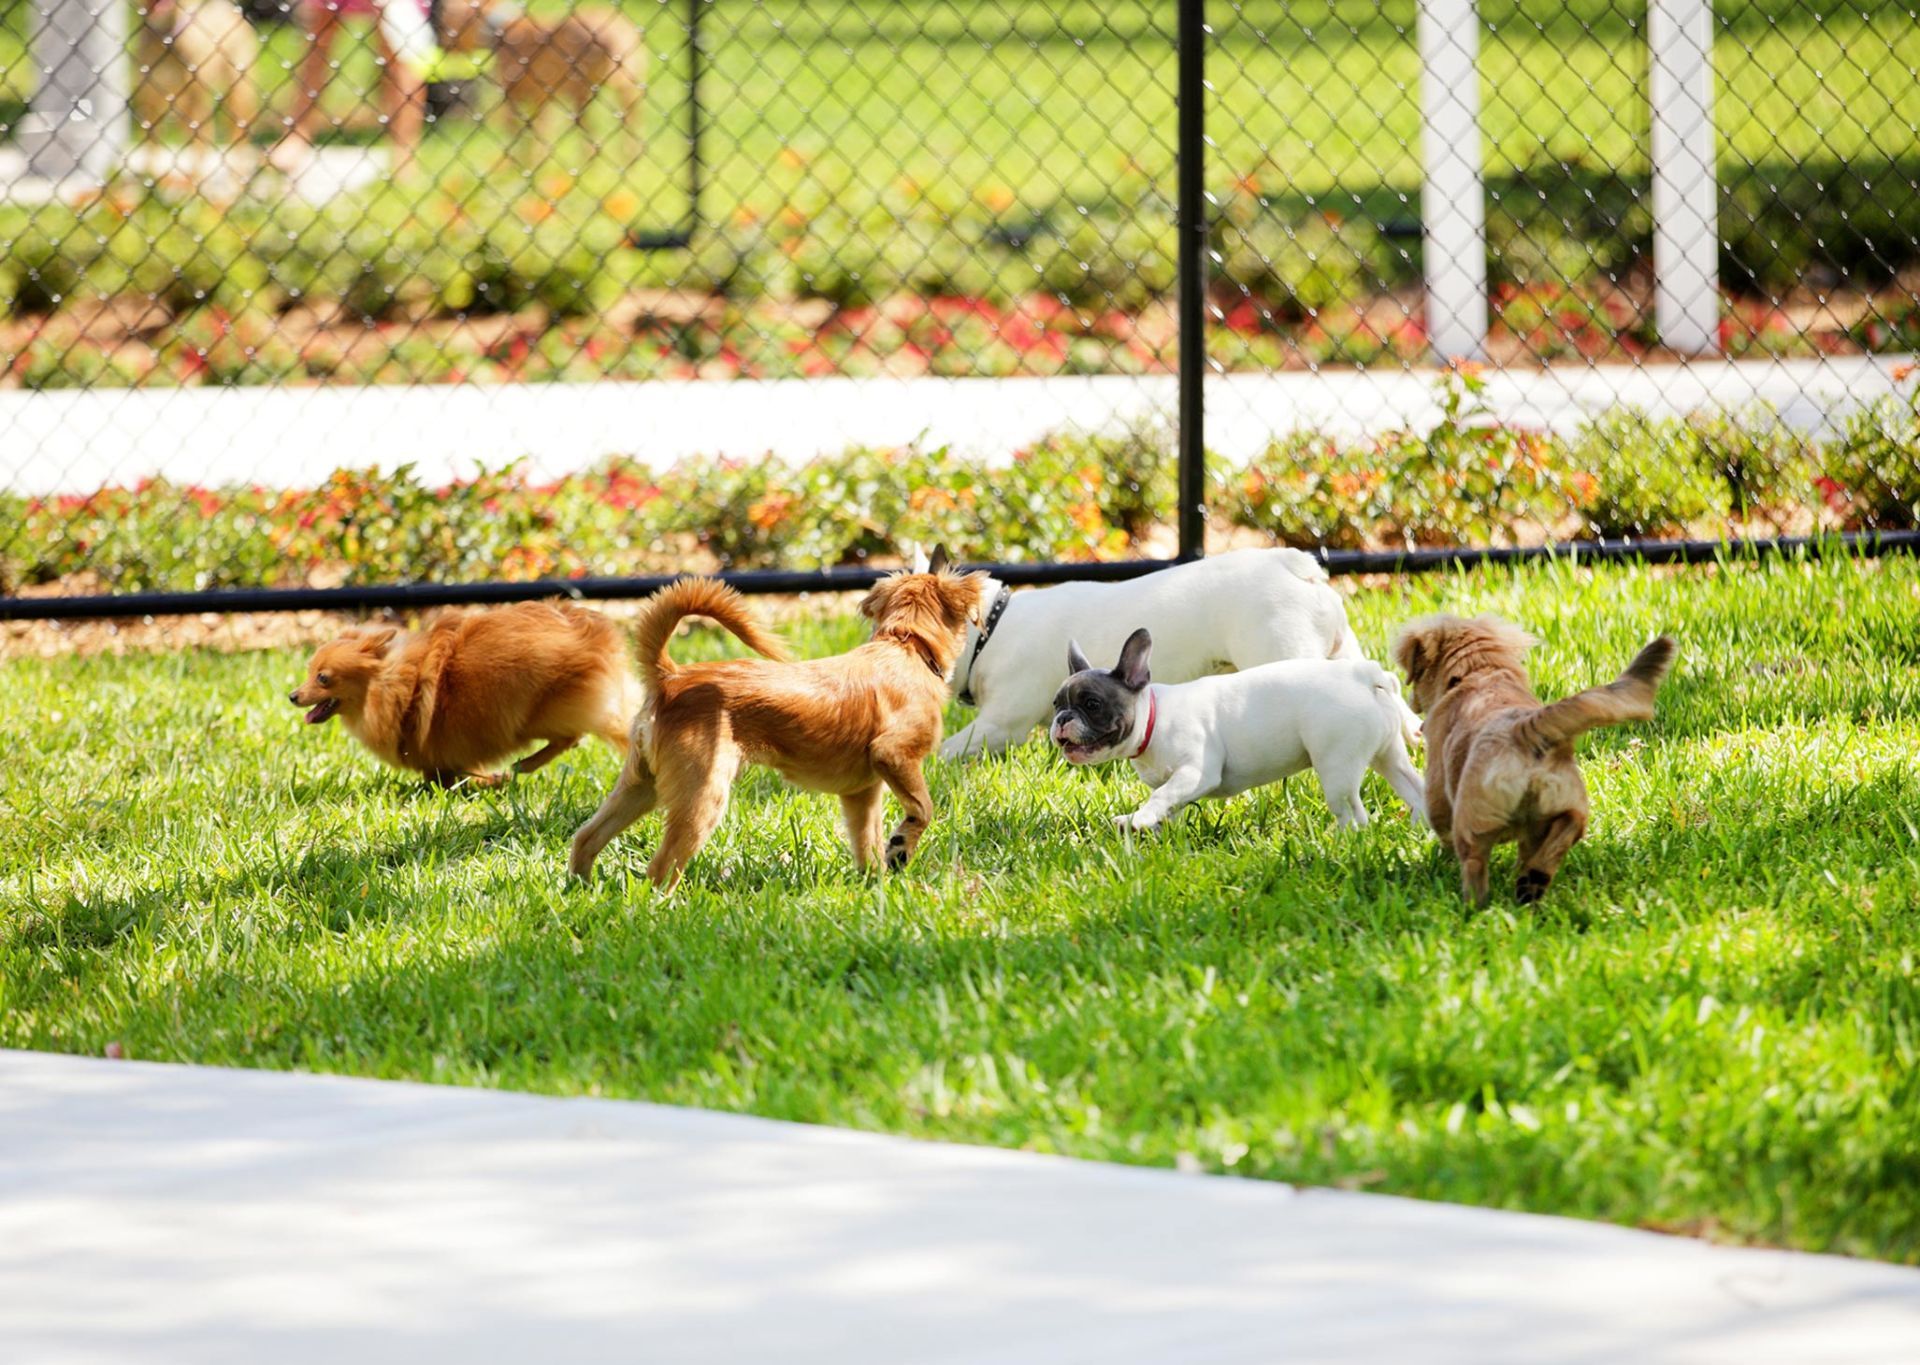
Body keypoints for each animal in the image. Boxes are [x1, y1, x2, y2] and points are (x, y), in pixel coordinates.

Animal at [289, 598, 637, 783]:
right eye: (308, 673)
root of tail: (592, 633)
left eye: (323, 678)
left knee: (570, 737)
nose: (292, 695)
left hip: (537, 714)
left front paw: (487, 782)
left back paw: (522, 765)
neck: (394, 687)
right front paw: (487, 782)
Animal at [568, 556, 990, 890]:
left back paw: (583, 891)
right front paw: (900, 848)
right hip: (702, 793)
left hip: (642, 785)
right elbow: (923, 808)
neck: (905, 645)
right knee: (659, 869)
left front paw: (877, 886)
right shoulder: (894, 755)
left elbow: (866, 842)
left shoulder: (861, 793)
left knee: (586, 837)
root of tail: (671, 677)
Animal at [1052, 625, 1428, 833]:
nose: (1062, 719)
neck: (1153, 720)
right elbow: (1169, 802)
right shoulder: (1176, 783)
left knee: (1354, 814)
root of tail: (1364, 675)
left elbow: (1163, 795)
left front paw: (1140, 819)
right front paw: (1151, 825)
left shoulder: (1196, 773)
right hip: (1388, 754)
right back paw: (1420, 826)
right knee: (1414, 787)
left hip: (1336, 766)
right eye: (1057, 704)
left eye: (1092, 704)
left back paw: (1340, 841)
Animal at [1390, 618, 1674, 906]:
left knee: (1474, 865)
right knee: (1561, 836)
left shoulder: (1437, 790)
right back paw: (1532, 882)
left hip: (1471, 825)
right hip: (1565, 807)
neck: (1478, 672)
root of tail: (1523, 730)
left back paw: (1475, 907)